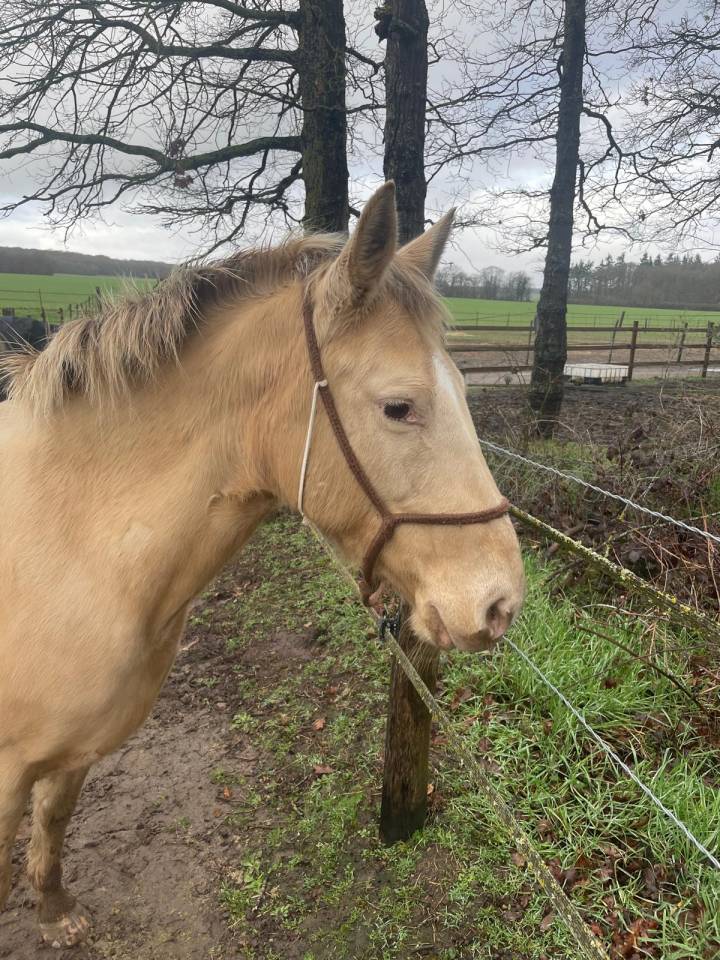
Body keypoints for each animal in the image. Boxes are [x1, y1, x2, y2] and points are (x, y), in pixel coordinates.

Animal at [0, 182, 524, 947]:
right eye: (399, 406)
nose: (500, 602)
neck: (67, 539)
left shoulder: (74, 750)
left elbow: (55, 815)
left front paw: (53, 908)